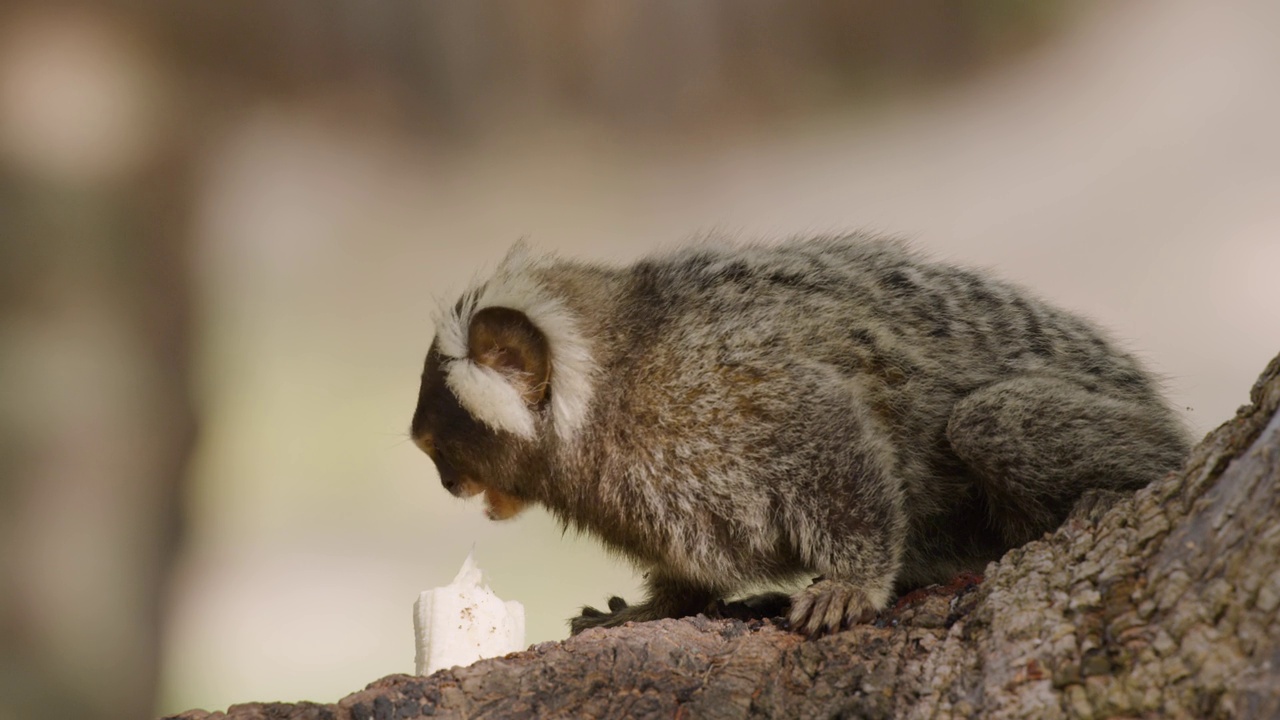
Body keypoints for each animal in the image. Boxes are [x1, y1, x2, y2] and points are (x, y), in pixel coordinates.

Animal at [407, 234, 1187, 632]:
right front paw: (657, 607)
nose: (444, 482)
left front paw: (852, 585)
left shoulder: (728, 393)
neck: (612, 388)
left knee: (988, 422)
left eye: (439, 446)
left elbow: (835, 437)